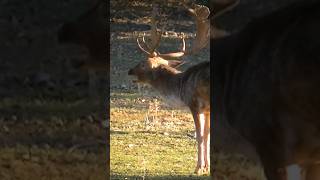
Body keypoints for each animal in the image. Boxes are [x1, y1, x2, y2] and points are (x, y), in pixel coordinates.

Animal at [127, 3, 210, 174]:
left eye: (143, 64)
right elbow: (207, 136)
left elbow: (199, 136)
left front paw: (198, 168)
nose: (129, 70)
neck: (181, 87)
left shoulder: (194, 104)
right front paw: (207, 167)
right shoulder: (207, 110)